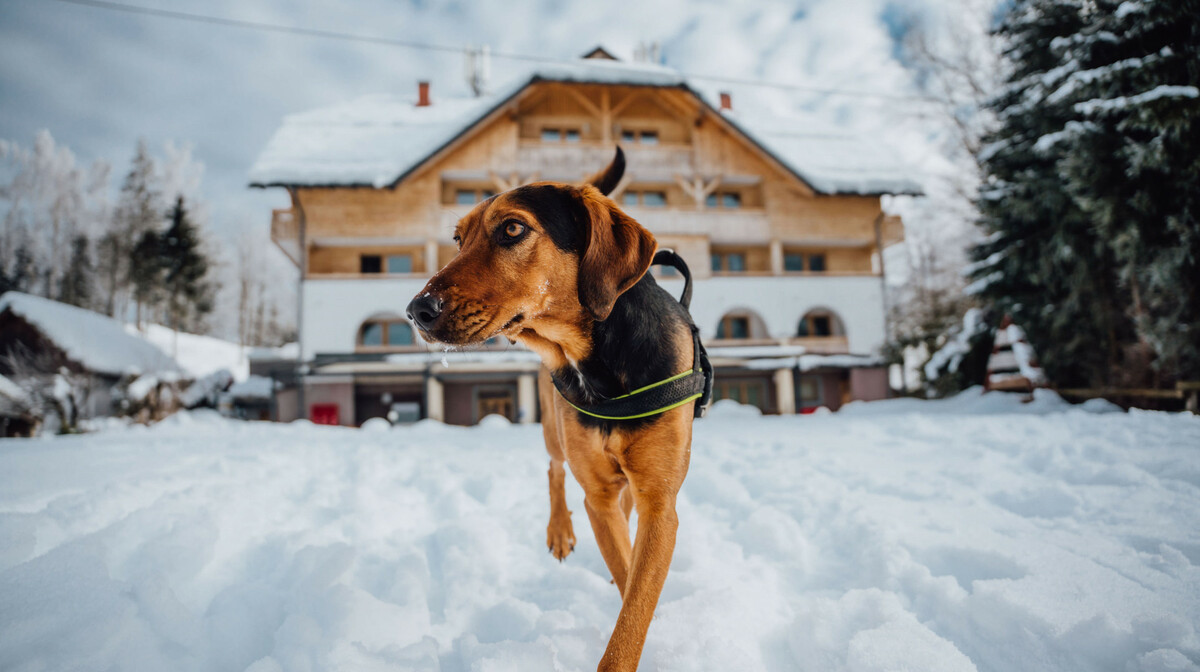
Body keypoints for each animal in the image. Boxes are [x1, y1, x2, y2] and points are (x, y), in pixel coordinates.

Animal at [408, 149, 700, 667]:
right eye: (459, 239)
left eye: (512, 229)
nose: (417, 310)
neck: (600, 365)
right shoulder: (598, 495)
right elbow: (626, 576)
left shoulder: (660, 503)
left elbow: (636, 595)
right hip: (554, 430)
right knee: (555, 469)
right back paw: (560, 530)